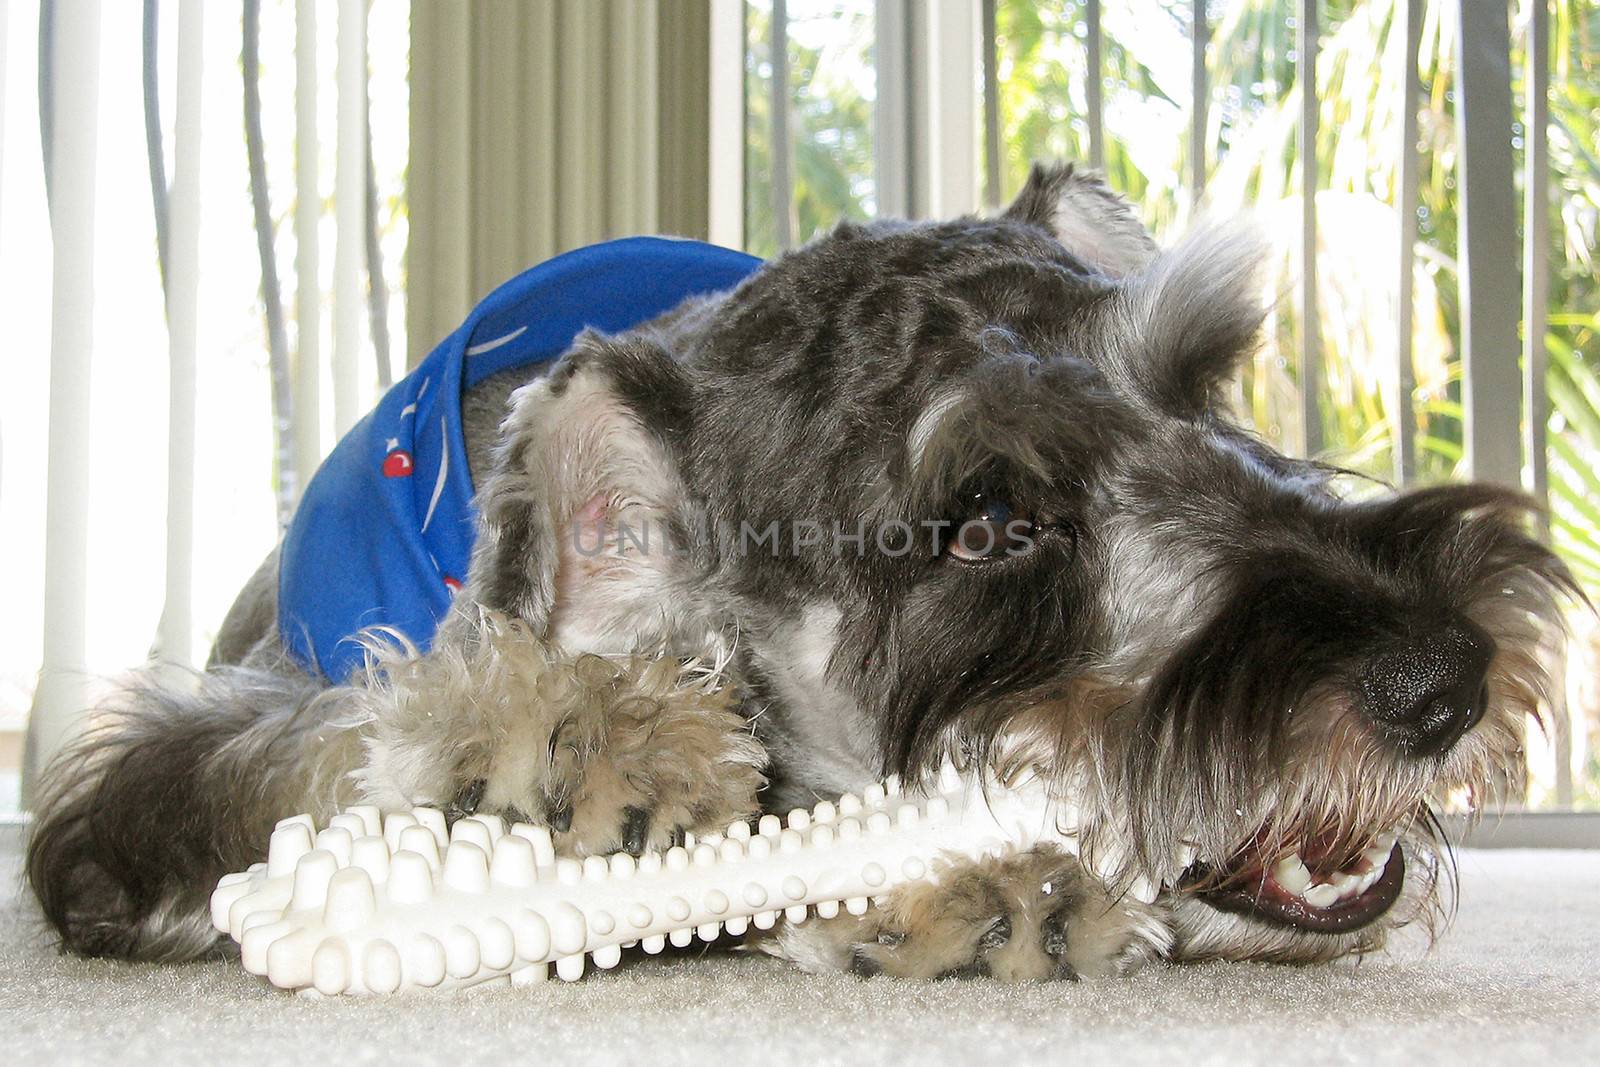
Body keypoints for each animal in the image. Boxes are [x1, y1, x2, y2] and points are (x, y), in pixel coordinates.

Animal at [28, 164, 1574, 985]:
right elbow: (315, 742)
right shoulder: (199, 743)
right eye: (984, 518)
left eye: (1202, 389)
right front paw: (558, 730)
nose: (1442, 679)